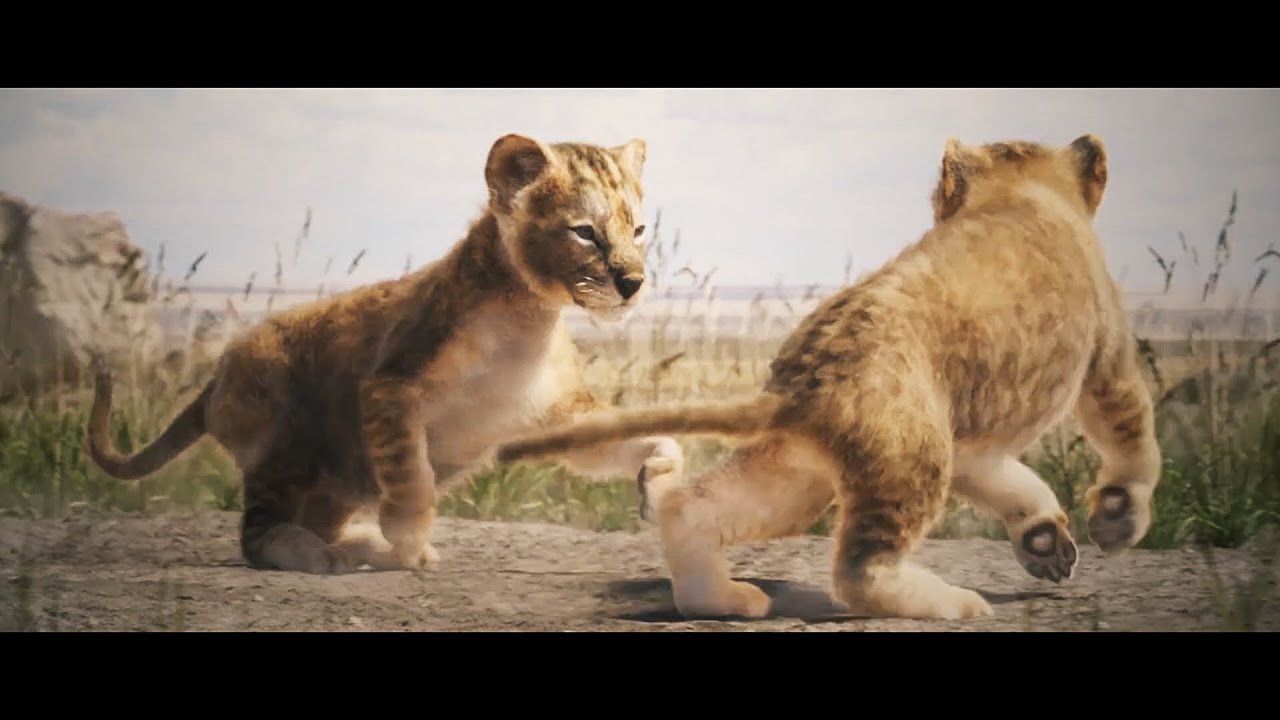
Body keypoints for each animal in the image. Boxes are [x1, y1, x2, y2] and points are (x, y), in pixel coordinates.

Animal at [85, 133, 683, 575]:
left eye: (638, 229)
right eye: (584, 232)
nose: (633, 282)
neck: (529, 316)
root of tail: (216, 373)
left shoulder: (560, 415)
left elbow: (638, 434)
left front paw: (659, 477)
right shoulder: (391, 385)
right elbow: (411, 473)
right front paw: (411, 543)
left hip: (329, 483)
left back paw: (359, 547)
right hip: (284, 438)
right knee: (256, 535)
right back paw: (326, 555)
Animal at [494, 134, 1163, 621]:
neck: (1022, 192)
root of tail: (807, 380)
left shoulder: (965, 440)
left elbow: (1009, 480)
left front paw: (1045, 539)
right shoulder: (1106, 351)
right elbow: (1132, 434)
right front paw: (1117, 517)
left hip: (802, 472)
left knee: (692, 506)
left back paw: (721, 600)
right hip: (909, 458)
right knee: (860, 572)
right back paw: (955, 605)